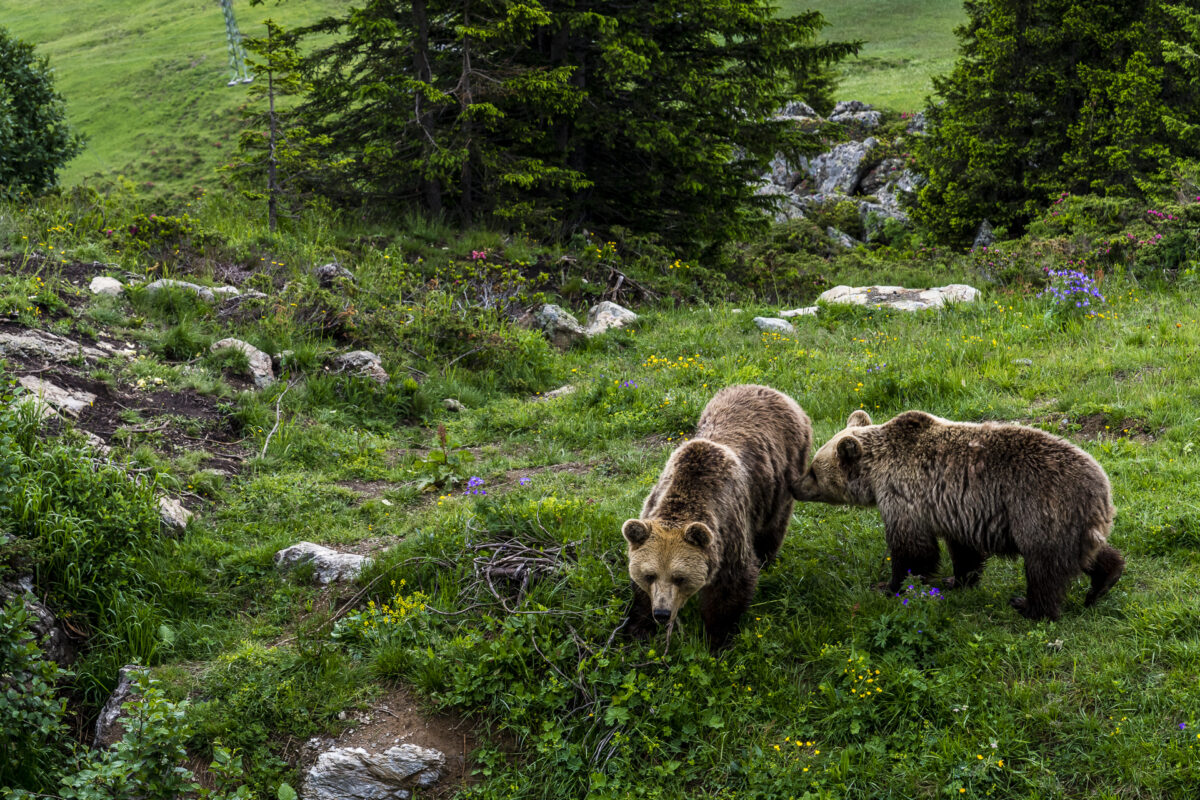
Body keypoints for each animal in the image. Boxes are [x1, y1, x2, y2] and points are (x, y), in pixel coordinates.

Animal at [624, 383, 811, 652]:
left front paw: (717, 639)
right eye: (650, 574)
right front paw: (638, 628)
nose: (661, 613)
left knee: (774, 524)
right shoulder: (652, 504)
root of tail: (770, 390)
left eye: (679, 577)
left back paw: (767, 558)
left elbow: (731, 586)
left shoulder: (728, 529)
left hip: (785, 473)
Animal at [796, 410, 1123, 623]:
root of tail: (1103, 489)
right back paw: (1104, 581)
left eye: (813, 469)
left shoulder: (906, 498)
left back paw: (1029, 607)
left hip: (1042, 511)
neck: (877, 474)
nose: (796, 485)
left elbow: (912, 550)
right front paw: (957, 580)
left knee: (1044, 568)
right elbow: (964, 550)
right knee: (1090, 553)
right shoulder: (958, 509)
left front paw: (889, 586)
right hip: (1078, 525)